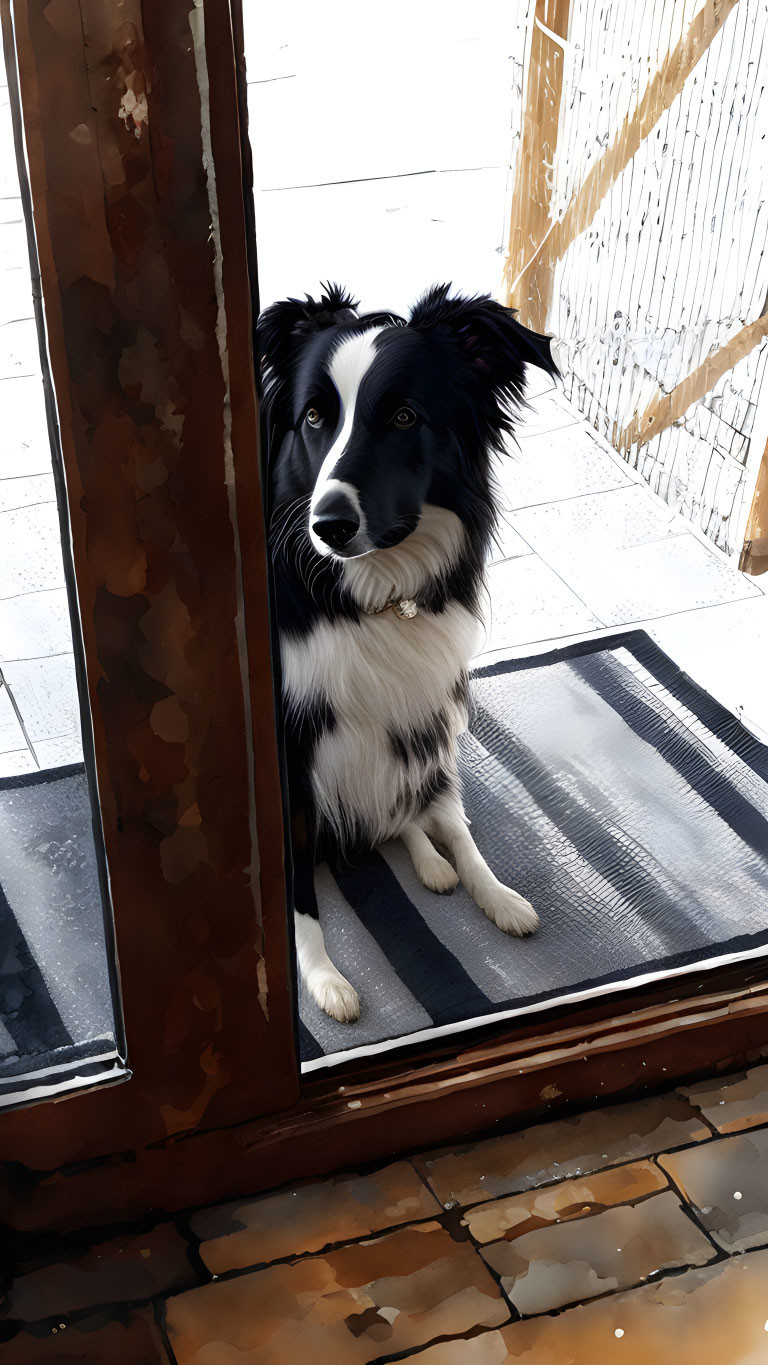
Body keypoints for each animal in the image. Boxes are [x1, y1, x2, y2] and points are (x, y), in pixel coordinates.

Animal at [260, 282, 559, 1021]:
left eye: (403, 416)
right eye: (314, 416)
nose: (328, 525)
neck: (373, 592)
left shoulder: (430, 701)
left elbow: (449, 814)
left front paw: (490, 889)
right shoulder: (290, 750)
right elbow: (297, 887)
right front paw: (322, 975)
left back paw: (449, 872)